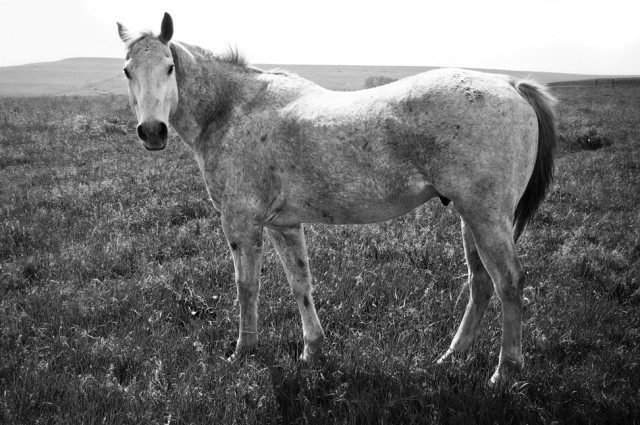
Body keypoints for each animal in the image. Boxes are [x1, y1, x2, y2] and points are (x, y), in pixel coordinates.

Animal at [116, 12, 556, 384]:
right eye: (127, 71)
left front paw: (244, 351)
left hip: (485, 217)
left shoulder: (241, 222)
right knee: (480, 283)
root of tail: (511, 86)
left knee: (508, 282)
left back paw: (505, 372)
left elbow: (247, 287)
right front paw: (312, 351)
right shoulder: (283, 225)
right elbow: (300, 284)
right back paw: (452, 357)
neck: (231, 110)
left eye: (169, 67)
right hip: (471, 218)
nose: (152, 131)